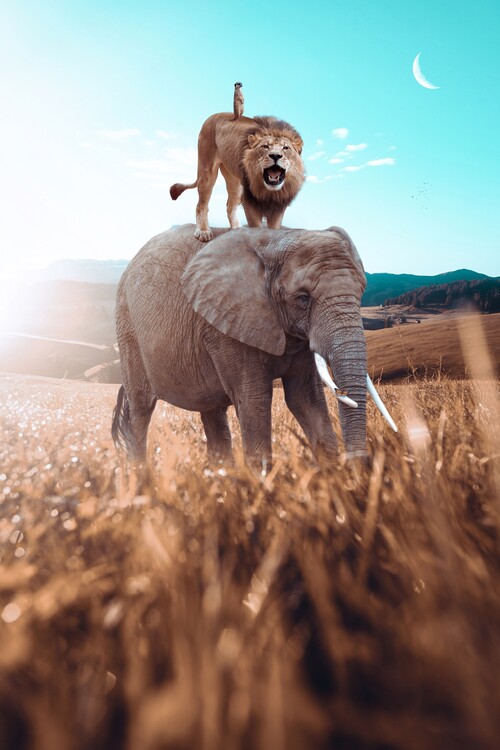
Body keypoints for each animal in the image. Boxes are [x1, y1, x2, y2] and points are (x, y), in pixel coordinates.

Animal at [112, 223, 395, 467]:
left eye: (361, 292)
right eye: (303, 298)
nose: (362, 462)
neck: (276, 238)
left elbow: (305, 398)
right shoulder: (226, 323)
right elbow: (253, 400)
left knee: (213, 414)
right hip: (128, 330)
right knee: (140, 410)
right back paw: (141, 479)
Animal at [169, 113, 305, 242]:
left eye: (286, 148)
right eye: (265, 146)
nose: (275, 155)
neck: (269, 191)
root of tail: (211, 116)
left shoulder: (278, 206)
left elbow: (274, 229)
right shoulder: (250, 203)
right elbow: (256, 227)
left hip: (235, 182)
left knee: (230, 207)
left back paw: (237, 231)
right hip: (207, 171)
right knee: (201, 205)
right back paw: (203, 231)